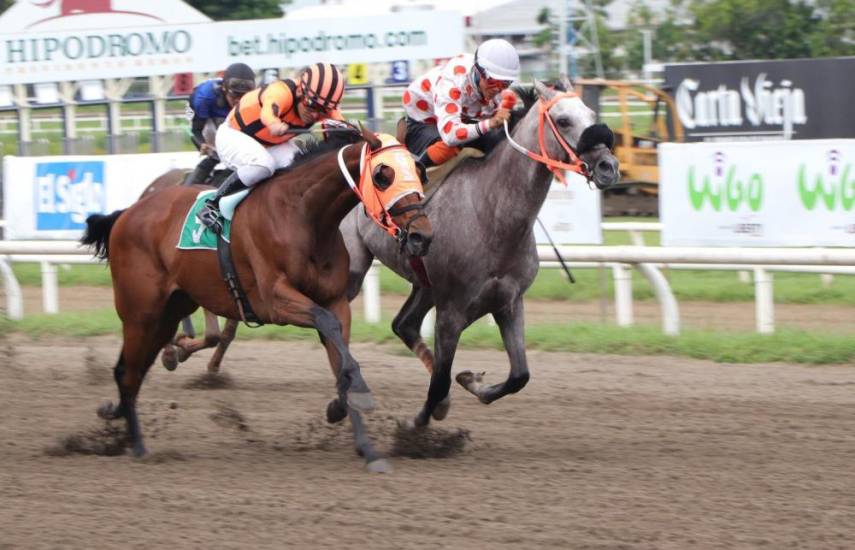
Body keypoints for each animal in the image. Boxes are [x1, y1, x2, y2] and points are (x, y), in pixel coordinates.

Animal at [81, 127, 434, 472]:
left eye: (418, 171)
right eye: (382, 175)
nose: (422, 235)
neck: (303, 215)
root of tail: (127, 213)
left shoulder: (335, 301)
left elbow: (340, 354)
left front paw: (367, 446)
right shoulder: (275, 300)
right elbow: (328, 327)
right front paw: (357, 396)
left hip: (169, 311)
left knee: (135, 369)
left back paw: (123, 412)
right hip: (140, 313)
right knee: (127, 371)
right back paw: (137, 444)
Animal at [342, 80, 620, 430]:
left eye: (592, 115)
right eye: (564, 120)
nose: (609, 167)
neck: (492, 212)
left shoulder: (508, 302)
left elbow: (519, 375)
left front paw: (472, 383)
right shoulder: (452, 311)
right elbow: (440, 381)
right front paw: (415, 423)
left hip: (425, 285)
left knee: (403, 324)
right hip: (352, 268)